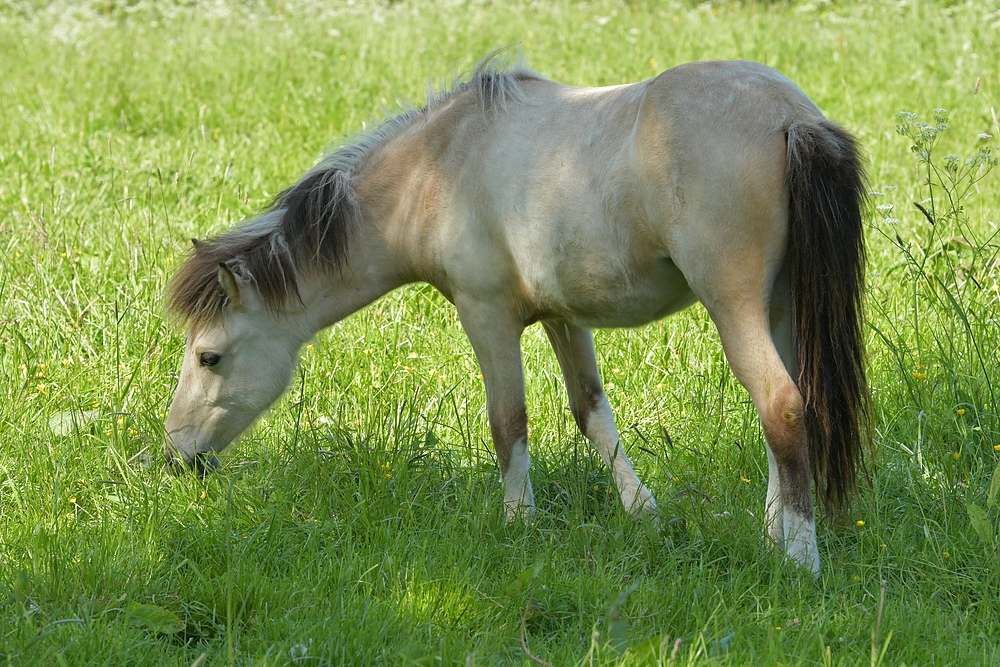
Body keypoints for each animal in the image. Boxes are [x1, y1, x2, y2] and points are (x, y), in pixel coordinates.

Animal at [164, 57, 868, 576]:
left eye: (209, 356)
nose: (177, 459)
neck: (438, 165)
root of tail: (790, 117)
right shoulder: (564, 317)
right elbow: (592, 415)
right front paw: (643, 514)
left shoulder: (487, 318)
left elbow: (509, 423)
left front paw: (517, 523)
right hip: (782, 309)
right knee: (794, 411)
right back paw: (773, 537)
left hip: (736, 307)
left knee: (780, 405)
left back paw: (799, 561)